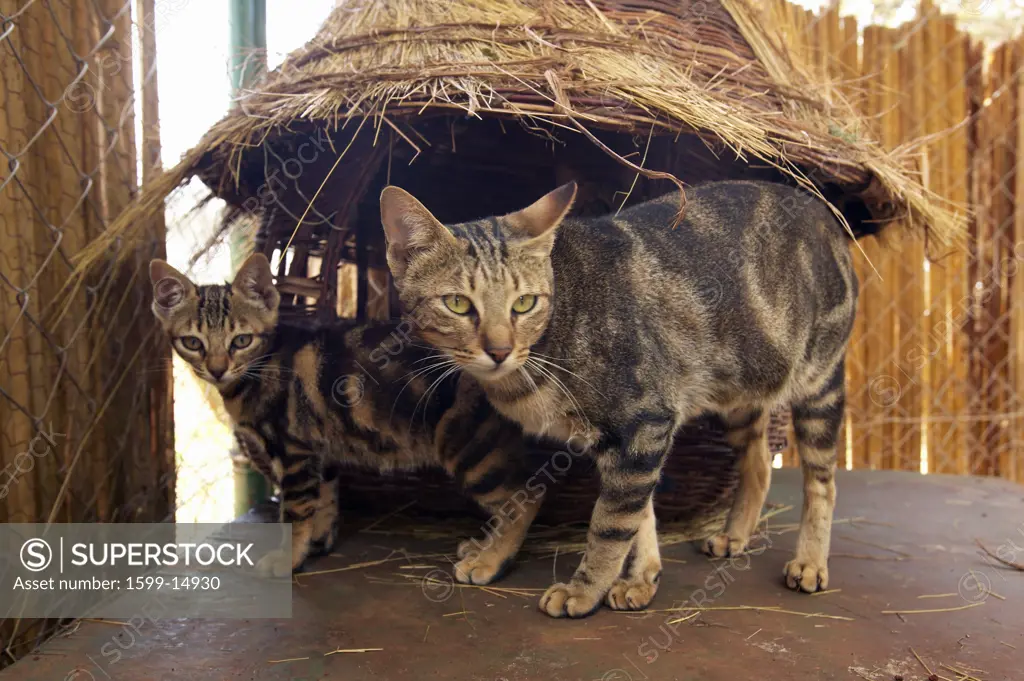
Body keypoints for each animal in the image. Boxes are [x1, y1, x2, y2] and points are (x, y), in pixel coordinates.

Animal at [149, 251, 544, 581]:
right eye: (193, 343)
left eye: (241, 341)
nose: (217, 370)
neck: (257, 372)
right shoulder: (318, 451)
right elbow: (324, 500)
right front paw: (317, 543)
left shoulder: (293, 452)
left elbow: (295, 512)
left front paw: (288, 559)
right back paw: (481, 548)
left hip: (468, 447)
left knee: (524, 498)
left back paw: (490, 562)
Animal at [380, 179, 860, 614]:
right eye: (458, 304)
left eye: (524, 304)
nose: (498, 350)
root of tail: (824, 212)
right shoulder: (621, 439)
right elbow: (638, 515)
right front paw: (641, 575)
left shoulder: (642, 423)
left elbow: (610, 524)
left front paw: (584, 590)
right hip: (742, 391)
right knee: (758, 460)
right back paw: (735, 534)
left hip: (818, 382)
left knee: (822, 481)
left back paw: (810, 562)